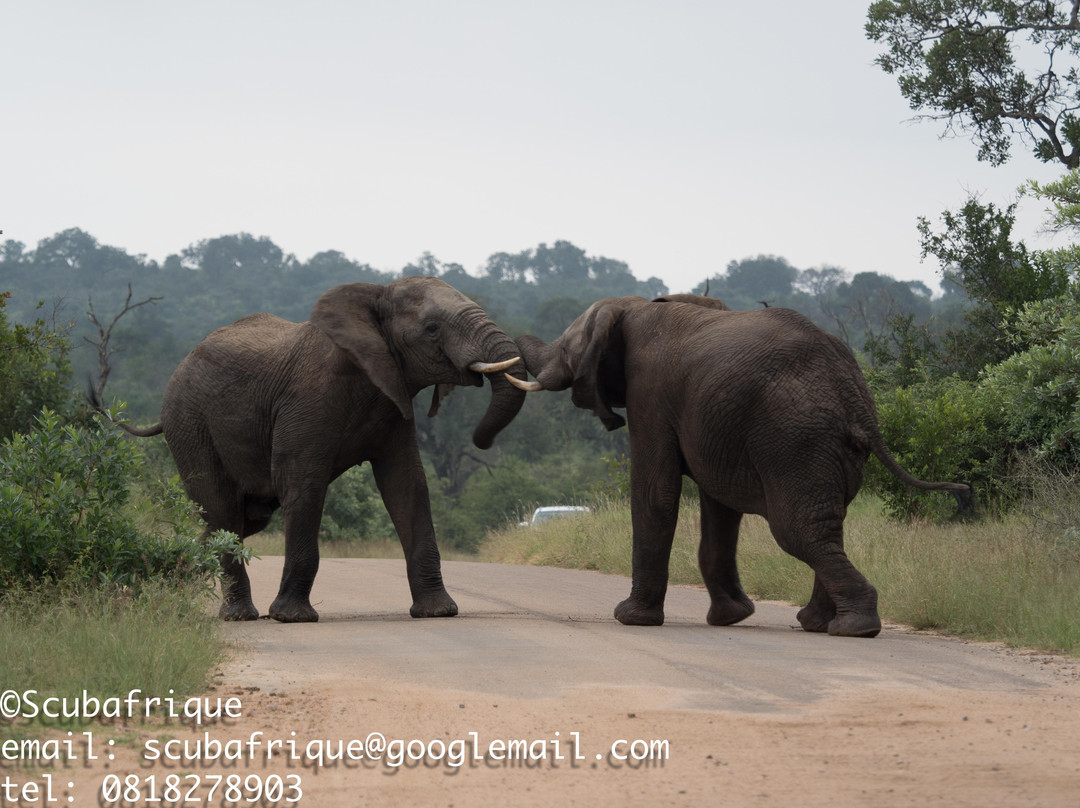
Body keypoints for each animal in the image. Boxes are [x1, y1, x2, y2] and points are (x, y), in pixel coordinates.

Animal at [109, 278, 527, 626]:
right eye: (432, 329)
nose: (482, 442)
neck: (373, 298)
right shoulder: (307, 400)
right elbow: (302, 482)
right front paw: (292, 618)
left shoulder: (393, 399)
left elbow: (407, 483)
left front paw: (438, 612)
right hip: (189, 423)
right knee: (222, 509)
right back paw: (237, 615)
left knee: (236, 520)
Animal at [507, 295, 972, 639]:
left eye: (566, 347)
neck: (629, 306)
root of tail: (856, 398)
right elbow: (719, 507)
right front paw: (732, 618)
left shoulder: (650, 393)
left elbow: (656, 493)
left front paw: (631, 619)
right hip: (825, 449)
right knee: (825, 526)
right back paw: (818, 624)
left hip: (795, 439)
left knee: (797, 530)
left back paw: (853, 628)